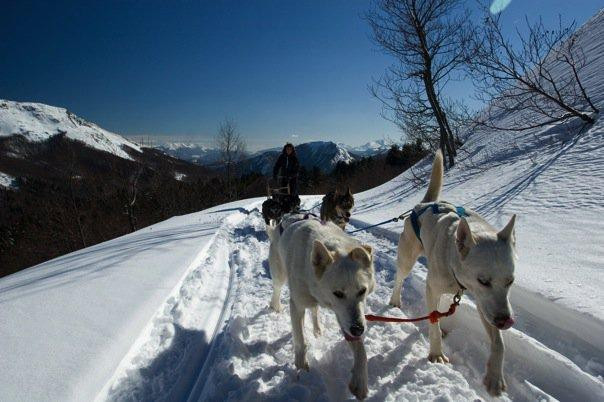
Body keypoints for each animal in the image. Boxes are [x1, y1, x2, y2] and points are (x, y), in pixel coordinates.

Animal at [268, 214, 376, 398]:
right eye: (338, 293)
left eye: (362, 291)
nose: (358, 330)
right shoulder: (297, 306)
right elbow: (301, 341)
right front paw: (301, 369)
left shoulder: (346, 318)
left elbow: (361, 351)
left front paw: (360, 381)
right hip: (280, 275)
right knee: (277, 289)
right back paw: (275, 306)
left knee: (314, 310)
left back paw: (317, 329)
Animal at [392, 150, 520, 396]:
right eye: (483, 280)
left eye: (510, 281)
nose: (505, 321)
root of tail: (424, 204)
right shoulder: (437, 287)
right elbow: (432, 323)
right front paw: (436, 353)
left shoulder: (486, 304)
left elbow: (499, 343)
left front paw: (494, 376)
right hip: (407, 260)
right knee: (400, 280)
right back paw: (395, 301)